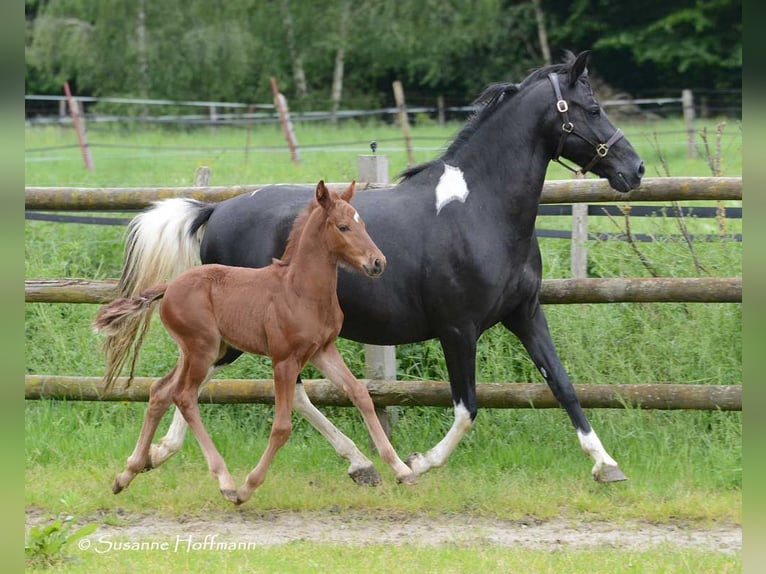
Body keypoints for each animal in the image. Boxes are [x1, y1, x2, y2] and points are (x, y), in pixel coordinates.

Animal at [93, 182, 416, 506]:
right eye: (343, 226)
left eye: (363, 224)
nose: (377, 262)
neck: (300, 290)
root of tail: (169, 286)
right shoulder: (284, 360)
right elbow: (282, 426)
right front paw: (247, 487)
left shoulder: (323, 351)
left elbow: (360, 394)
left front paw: (401, 469)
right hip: (202, 350)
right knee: (184, 396)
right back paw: (224, 481)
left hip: (203, 351)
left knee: (161, 390)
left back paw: (128, 472)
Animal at [112, 53, 640, 486]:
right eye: (592, 108)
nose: (634, 169)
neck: (480, 210)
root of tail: (216, 210)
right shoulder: (458, 328)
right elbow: (467, 407)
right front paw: (419, 463)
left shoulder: (525, 313)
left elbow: (563, 385)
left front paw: (606, 465)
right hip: (240, 334)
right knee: (213, 383)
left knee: (250, 388)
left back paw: (353, 463)